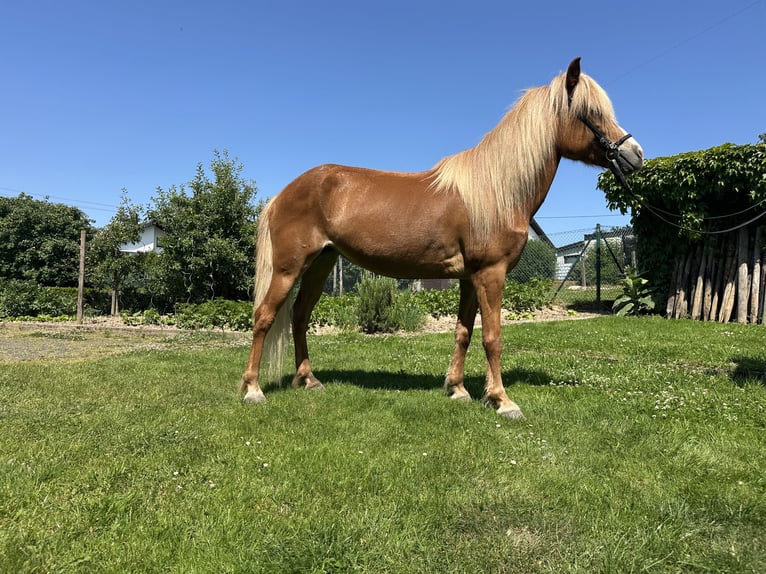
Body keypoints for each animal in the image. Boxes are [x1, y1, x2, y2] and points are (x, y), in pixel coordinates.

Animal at [239, 58, 643, 418]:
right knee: (264, 316)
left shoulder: (468, 278)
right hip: (289, 268)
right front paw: (502, 401)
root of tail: (282, 194)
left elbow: (463, 332)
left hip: (321, 264)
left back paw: (308, 380)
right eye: (591, 112)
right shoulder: (490, 275)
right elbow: (492, 337)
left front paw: (458, 390)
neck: (495, 191)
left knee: (299, 315)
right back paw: (253, 390)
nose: (635, 154)